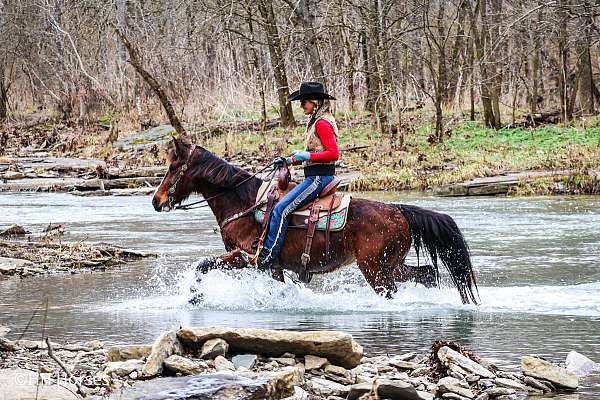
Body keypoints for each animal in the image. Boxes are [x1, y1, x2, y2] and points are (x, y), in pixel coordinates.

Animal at [154, 136, 478, 304]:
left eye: (173, 168)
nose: (157, 201)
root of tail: (399, 210)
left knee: (398, 288)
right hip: (392, 264)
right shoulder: (269, 266)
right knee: (428, 274)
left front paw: (194, 297)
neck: (243, 202)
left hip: (376, 269)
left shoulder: (245, 256)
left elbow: (202, 265)